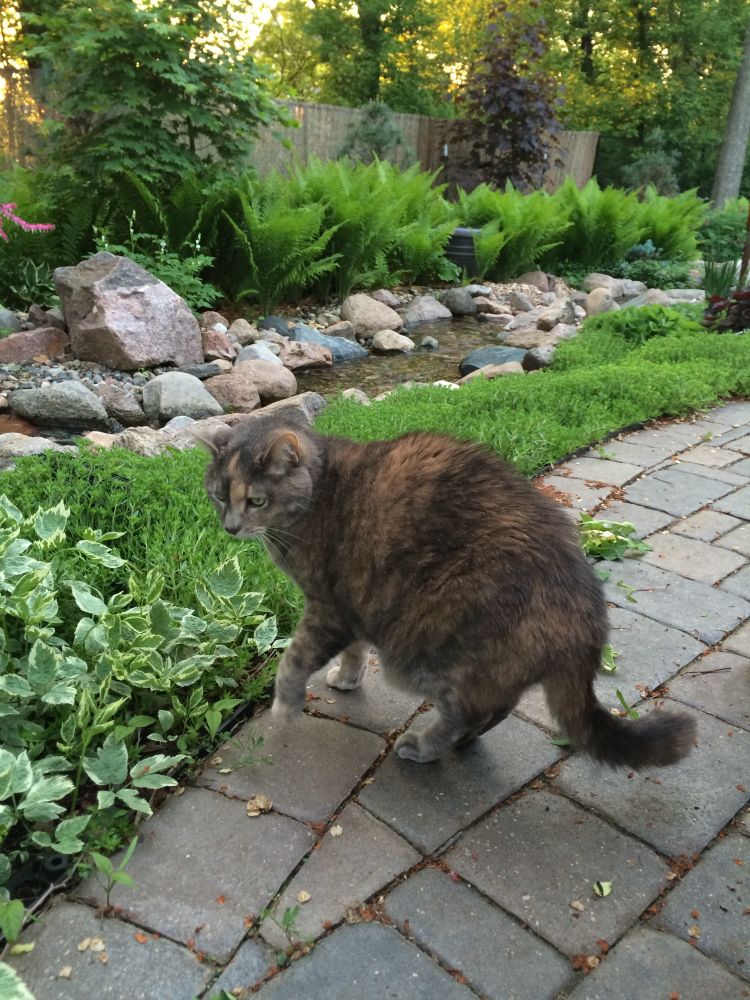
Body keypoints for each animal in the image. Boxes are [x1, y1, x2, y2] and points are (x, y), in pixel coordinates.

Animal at [198, 413, 696, 768]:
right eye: (219, 495)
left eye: (255, 499)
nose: (230, 527)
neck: (318, 491)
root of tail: (587, 620)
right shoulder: (356, 602)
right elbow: (355, 648)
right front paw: (346, 677)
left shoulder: (327, 607)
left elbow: (292, 660)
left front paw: (284, 709)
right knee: (496, 706)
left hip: (422, 650)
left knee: (467, 711)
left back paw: (424, 747)